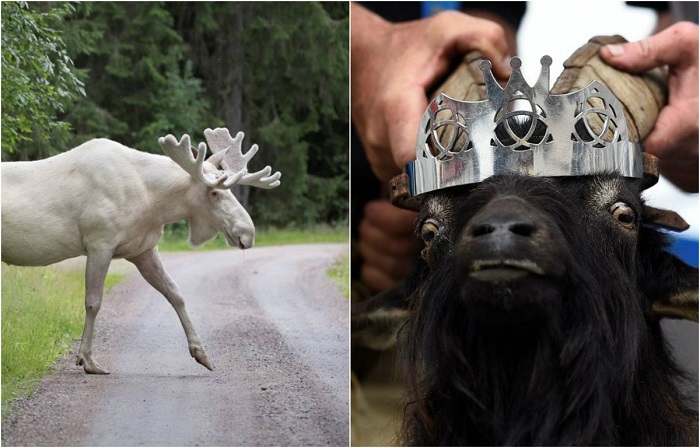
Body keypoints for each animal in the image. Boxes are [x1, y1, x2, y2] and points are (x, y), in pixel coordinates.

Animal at [3, 127, 282, 374]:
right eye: (214, 192)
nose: (248, 233)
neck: (154, 203)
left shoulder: (143, 249)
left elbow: (176, 293)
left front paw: (201, 353)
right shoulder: (99, 241)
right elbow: (93, 302)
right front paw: (87, 360)